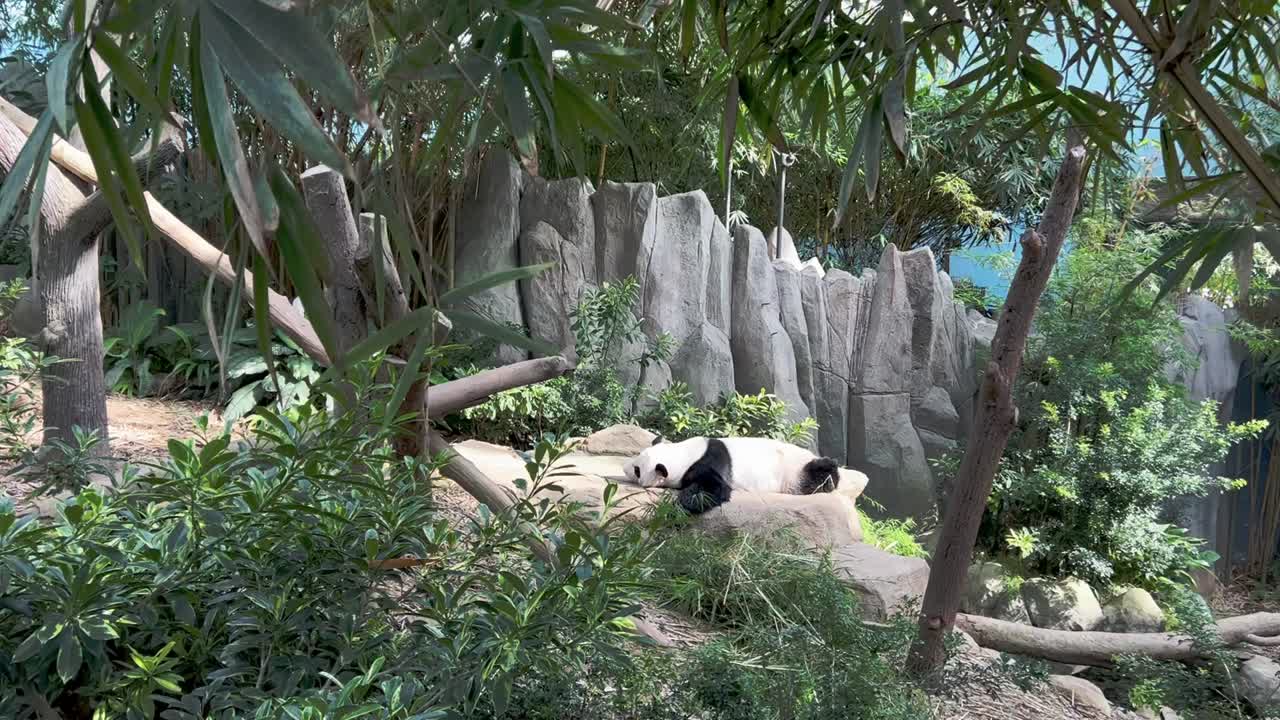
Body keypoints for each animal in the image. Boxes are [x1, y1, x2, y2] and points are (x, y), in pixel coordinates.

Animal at [622, 436, 841, 514]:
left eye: (637, 469)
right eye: (637, 458)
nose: (624, 469)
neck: (684, 454)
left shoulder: (710, 462)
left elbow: (714, 488)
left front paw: (684, 504)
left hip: (794, 471)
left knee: (816, 474)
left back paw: (828, 476)